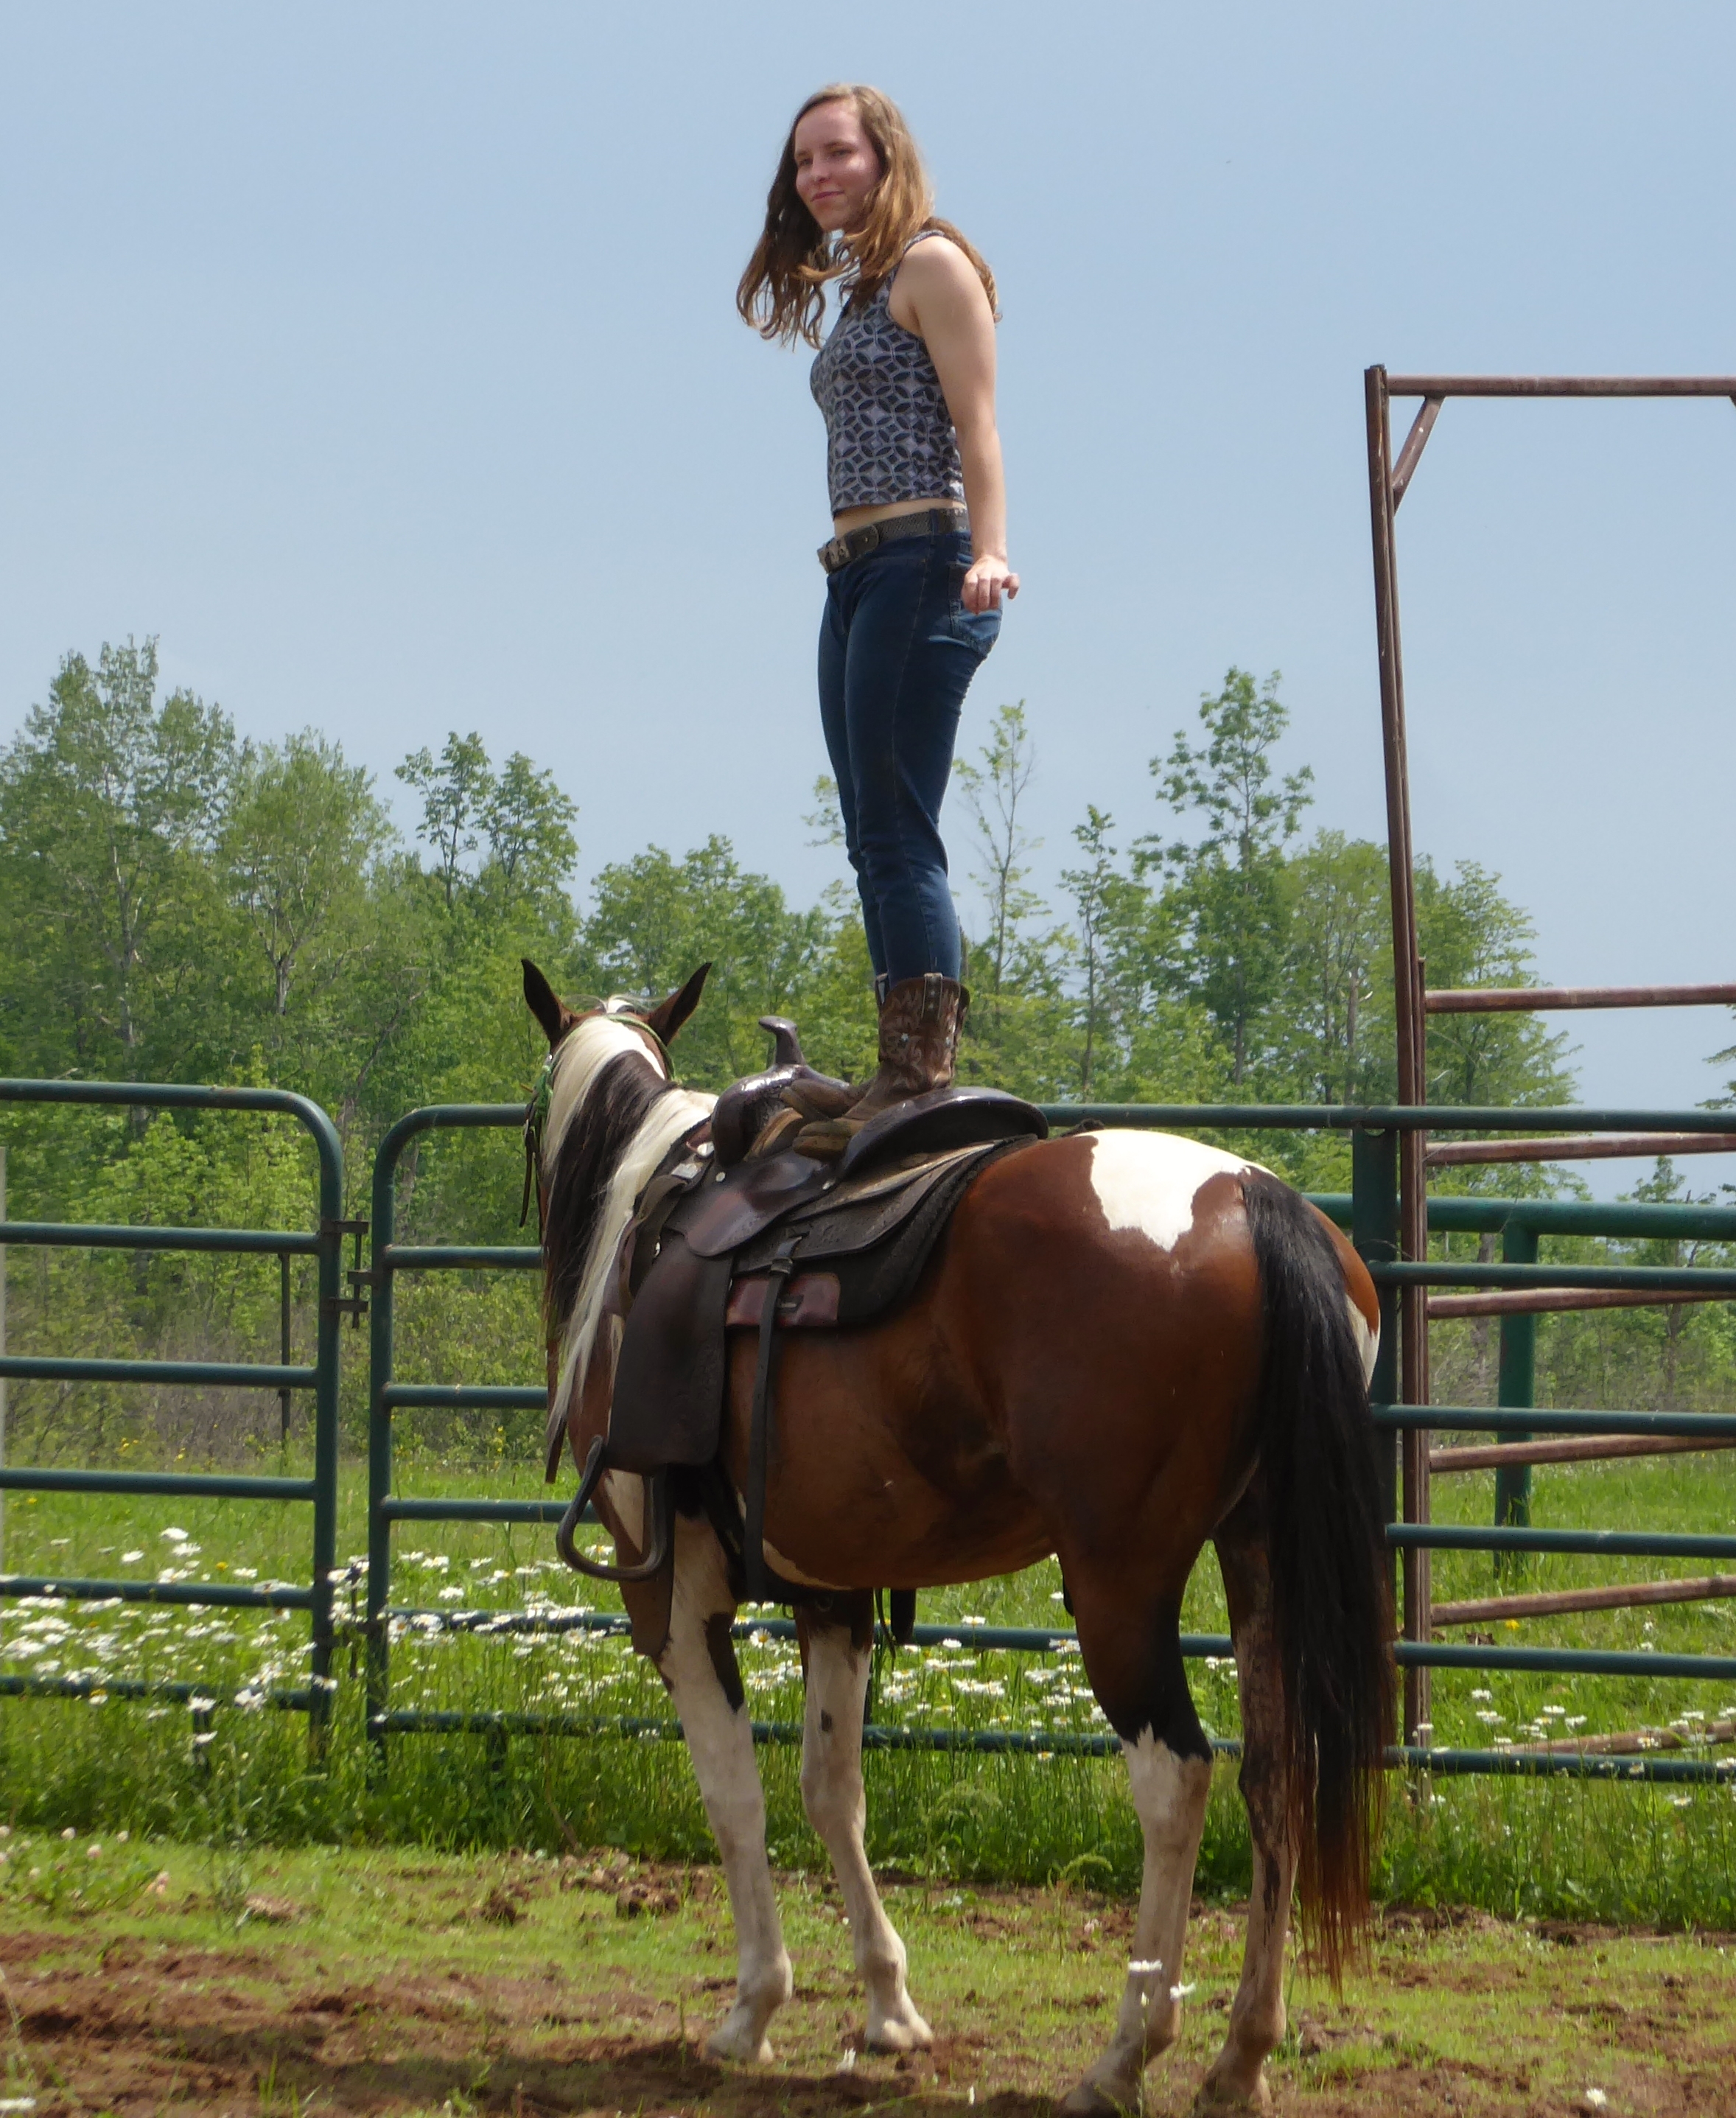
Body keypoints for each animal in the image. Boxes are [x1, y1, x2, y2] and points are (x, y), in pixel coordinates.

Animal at [522, 960, 1393, 2115]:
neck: (647, 1209)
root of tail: (1254, 1201)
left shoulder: (669, 1591)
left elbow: (734, 1791)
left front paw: (753, 2008)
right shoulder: (832, 1590)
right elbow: (831, 1789)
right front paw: (889, 2009)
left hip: (1120, 1583)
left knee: (1176, 1778)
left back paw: (1125, 2052)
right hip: (1259, 1562)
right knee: (1276, 1773)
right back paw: (1241, 2053)